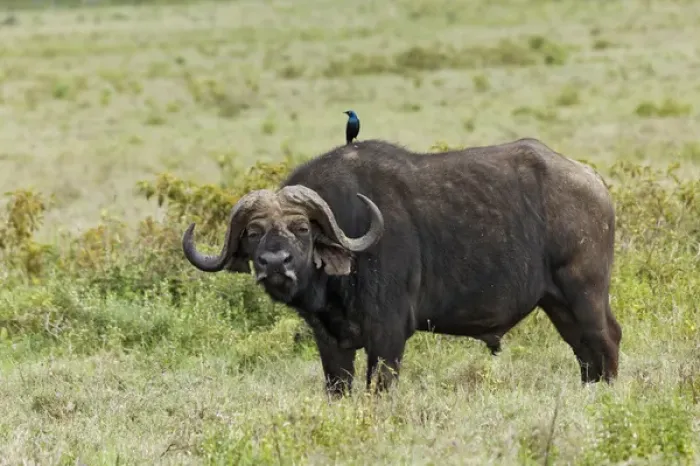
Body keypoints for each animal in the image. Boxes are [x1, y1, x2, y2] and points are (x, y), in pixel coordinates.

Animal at [182, 138, 622, 396]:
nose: (275, 262)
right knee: (585, 353)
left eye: (302, 228)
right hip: (558, 304)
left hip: (584, 292)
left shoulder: (388, 336)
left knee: (606, 340)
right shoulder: (330, 342)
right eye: (254, 232)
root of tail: (593, 182)